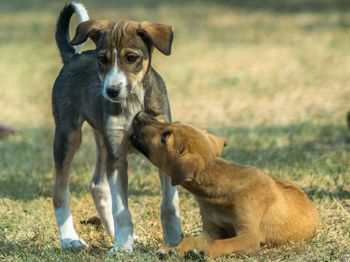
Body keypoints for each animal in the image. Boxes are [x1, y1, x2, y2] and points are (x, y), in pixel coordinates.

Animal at [52, 1, 183, 252]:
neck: (134, 103)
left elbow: (169, 202)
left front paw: (174, 238)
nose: (111, 91)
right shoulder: (118, 157)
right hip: (68, 135)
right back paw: (69, 238)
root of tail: (72, 56)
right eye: (102, 59)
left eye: (131, 58)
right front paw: (122, 247)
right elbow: (121, 208)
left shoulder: (164, 151)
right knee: (60, 192)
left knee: (97, 186)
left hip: (103, 141)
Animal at [131, 112, 320, 258]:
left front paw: (203, 252)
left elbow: (222, 244)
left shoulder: (249, 236)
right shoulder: (212, 232)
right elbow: (189, 239)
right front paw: (173, 250)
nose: (139, 115)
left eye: (165, 136)